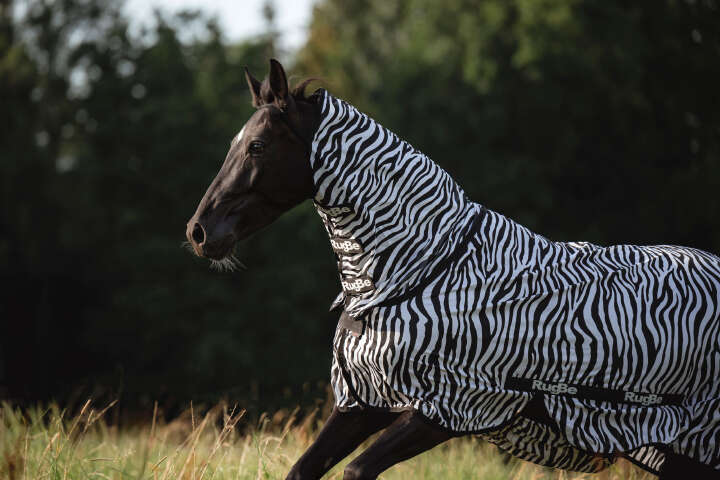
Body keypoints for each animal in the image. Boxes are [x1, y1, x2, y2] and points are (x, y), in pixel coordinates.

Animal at [186, 59, 720, 479]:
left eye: (257, 145)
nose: (199, 232)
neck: (419, 270)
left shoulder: (451, 408)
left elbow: (357, 471)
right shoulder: (364, 402)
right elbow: (303, 469)